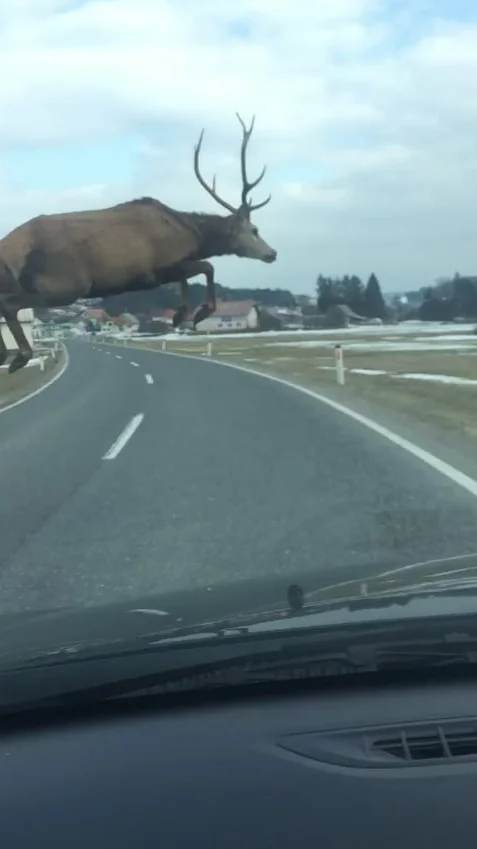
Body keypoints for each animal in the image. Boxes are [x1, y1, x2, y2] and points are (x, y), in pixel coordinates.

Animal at [0, 113, 276, 372]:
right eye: (254, 229)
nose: (272, 253)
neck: (191, 234)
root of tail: (10, 245)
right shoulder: (155, 270)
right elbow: (207, 267)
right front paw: (197, 314)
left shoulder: (171, 266)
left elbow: (188, 279)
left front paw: (181, 315)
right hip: (62, 283)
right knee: (9, 304)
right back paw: (19, 357)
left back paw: (7, 355)